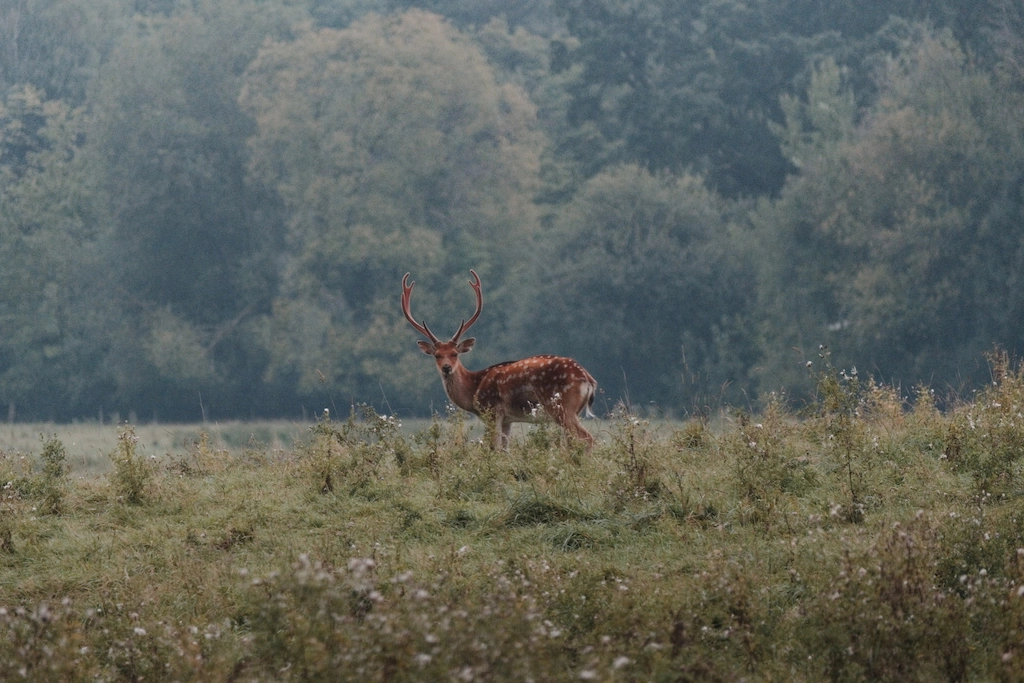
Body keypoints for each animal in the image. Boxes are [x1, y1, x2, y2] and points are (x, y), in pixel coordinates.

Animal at [402, 270, 598, 450]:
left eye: (455, 354)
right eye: (437, 355)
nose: (446, 368)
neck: (474, 389)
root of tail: (588, 379)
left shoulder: (492, 410)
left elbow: (493, 447)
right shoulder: (507, 420)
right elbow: (504, 449)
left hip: (562, 406)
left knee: (586, 438)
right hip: (572, 410)